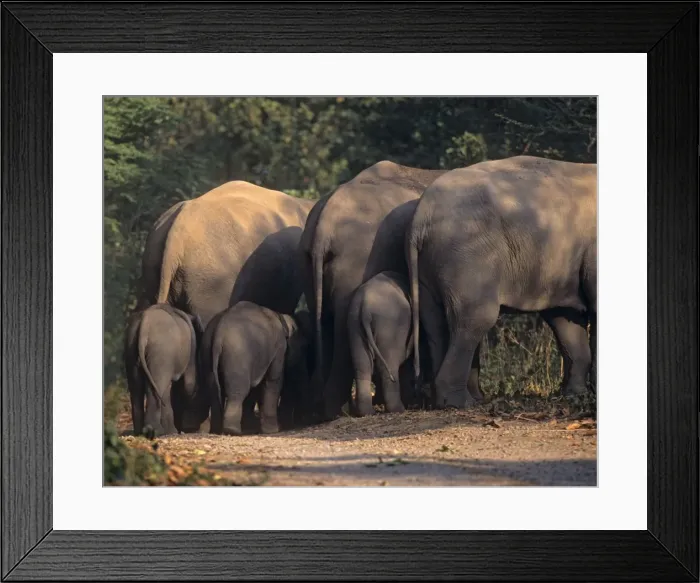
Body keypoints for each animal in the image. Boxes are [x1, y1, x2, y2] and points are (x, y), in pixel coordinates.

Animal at [123, 303, 205, 435]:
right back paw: (157, 431)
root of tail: (145, 321)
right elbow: (189, 384)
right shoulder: (192, 349)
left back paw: (140, 432)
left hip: (131, 347)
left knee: (136, 387)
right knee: (157, 386)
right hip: (162, 351)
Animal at [202, 301, 313, 436]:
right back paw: (233, 431)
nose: (305, 420)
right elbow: (273, 380)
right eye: (304, 348)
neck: (281, 317)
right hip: (237, 356)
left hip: (207, 350)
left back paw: (216, 430)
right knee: (238, 391)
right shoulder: (279, 347)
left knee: (213, 391)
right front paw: (273, 430)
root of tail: (219, 332)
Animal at [300, 160, 481, 420]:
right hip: (356, 260)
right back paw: (338, 411)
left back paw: (326, 410)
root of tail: (324, 226)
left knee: (325, 324)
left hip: (308, 264)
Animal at [407, 155, 597, 409]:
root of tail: (420, 219)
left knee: (435, 323)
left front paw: (574, 395)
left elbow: (564, 317)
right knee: (475, 319)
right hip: (468, 256)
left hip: (429, 267)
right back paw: (461, 403)